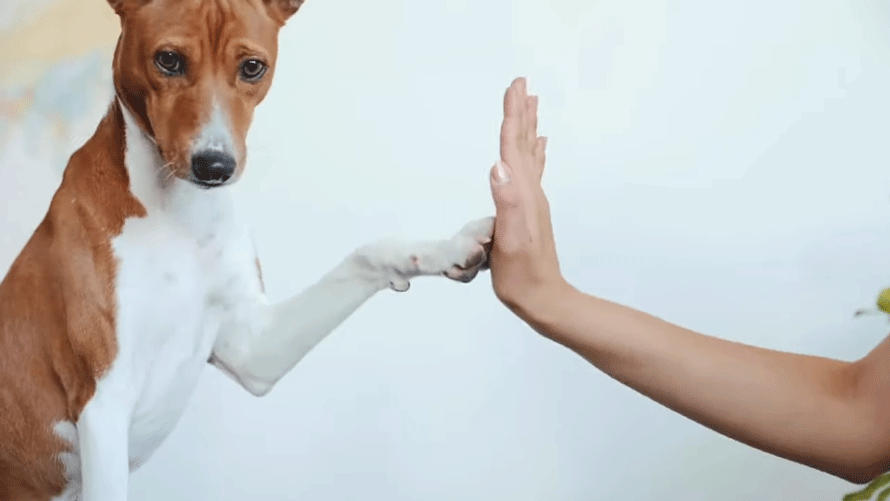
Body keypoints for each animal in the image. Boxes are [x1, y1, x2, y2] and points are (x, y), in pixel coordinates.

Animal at [0, 1, 492, 498]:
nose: (214, 165)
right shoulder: (104, 401)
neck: (178, 217)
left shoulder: (253, 348)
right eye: (168, 60)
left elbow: (367, 252)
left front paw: (448, 246)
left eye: (253, 67)